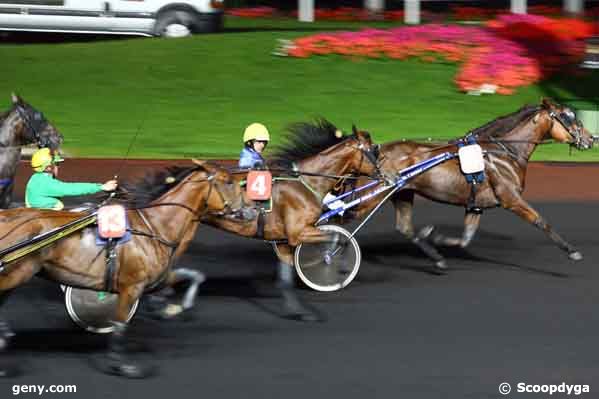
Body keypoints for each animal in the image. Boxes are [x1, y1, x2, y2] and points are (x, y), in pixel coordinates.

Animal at [0, 159, 244, 378]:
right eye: (228, 182)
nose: (246, 211)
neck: (154, 227)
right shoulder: (132, 286)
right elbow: (120, 324)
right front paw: (122, 365)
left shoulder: (156, 278)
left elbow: (195, 277)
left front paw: (176, 307)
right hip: (16, 273)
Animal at [202, 119, 380, 322]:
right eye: (371, 149)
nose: (381, 172)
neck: (304, 182)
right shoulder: (298, 233)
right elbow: (337, 240)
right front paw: (334, 262)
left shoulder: (284, 241)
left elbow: (285, 279)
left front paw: (298, 310)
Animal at [346, 99, 596, 272]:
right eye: (567, 117)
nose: (590, 139)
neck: (504, 152)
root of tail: (375, 151)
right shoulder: (511, 199)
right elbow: (541, 221)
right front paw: (572, 251)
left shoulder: (475, 205)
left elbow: (465, 239)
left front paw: (435, 236)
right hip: (376, 193)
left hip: (403, 193)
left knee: (405, 227)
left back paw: (437, 258)